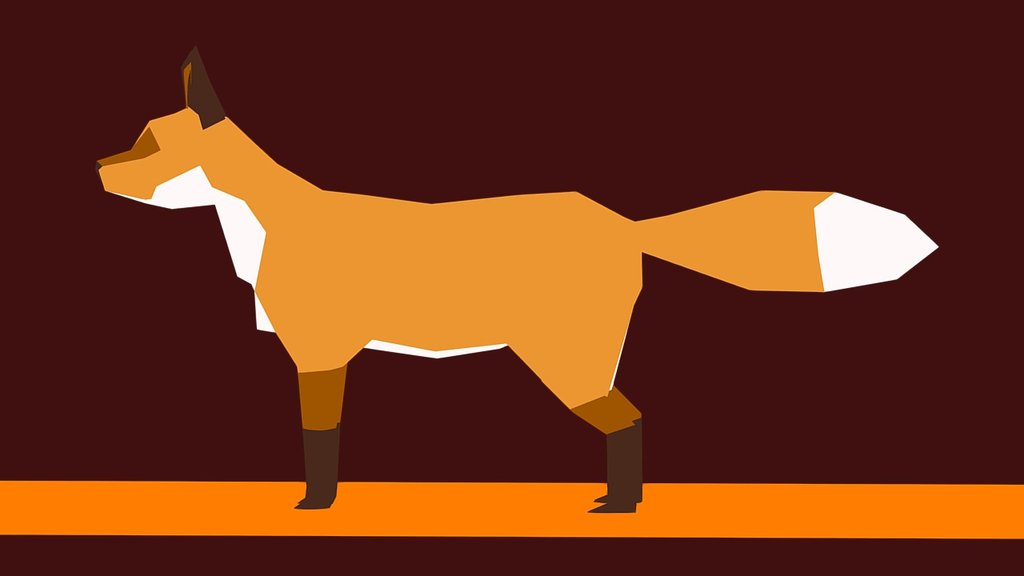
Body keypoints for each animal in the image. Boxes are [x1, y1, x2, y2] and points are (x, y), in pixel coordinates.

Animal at [96, 48, 937, 513]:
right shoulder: (323, 357)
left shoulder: (320, 355)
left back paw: (620, 509)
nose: (98, 170)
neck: (264, 224)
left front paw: (315, 505)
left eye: (147, 143)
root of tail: (623, 220)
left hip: (567, 364)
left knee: (629, 420)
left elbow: (318, 443)